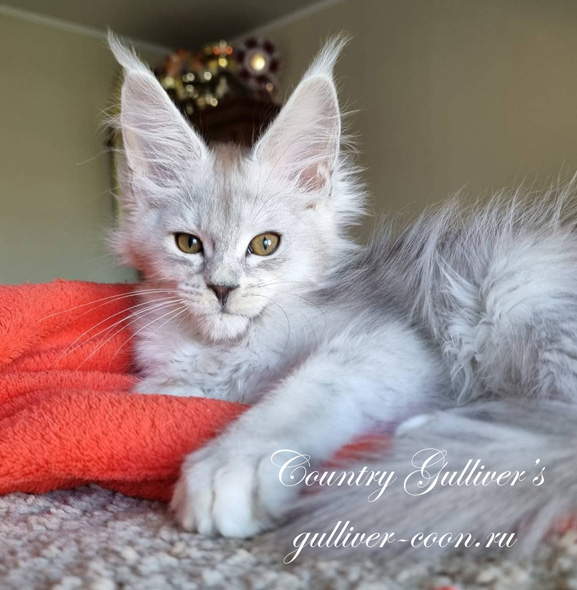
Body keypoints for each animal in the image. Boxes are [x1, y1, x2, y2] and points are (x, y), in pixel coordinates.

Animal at [109, 34, 577, 557]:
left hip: (514, 291)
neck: (227, 348)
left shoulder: (391, 340)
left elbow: (304, 390)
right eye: (188, 244)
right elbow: (163, 391)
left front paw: (232, 461)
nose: (222, 288)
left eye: (264, 244)